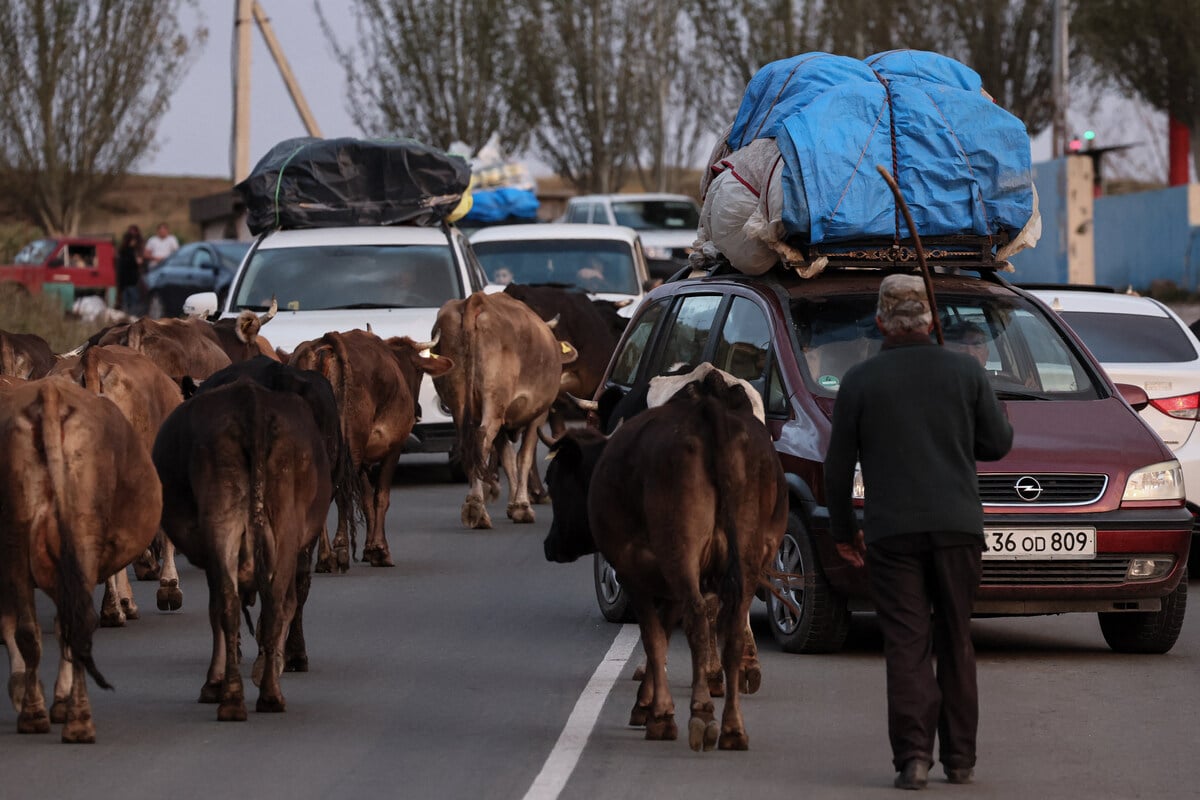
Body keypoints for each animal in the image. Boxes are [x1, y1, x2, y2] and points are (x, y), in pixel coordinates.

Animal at [0, 379, 162, 743]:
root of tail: (50, 394)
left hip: (20, 542)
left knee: (35, 629)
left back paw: (39, 714)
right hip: (78, 539)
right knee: (75, 624)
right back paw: (76, 720)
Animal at [154, 379, 336, 724]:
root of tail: (251, 402)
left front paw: (216, 682)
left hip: (224, 521)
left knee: (233, 603)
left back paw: (235, 698)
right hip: (278, 525)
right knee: (271, 602)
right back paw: (265, 694)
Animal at [434, 292, 578, 532]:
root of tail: (475, 301)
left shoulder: (503, 420)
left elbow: (508, 457)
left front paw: (513, 505)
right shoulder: (537, 415)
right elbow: (523, 457)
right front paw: (522, 506)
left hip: (460, 403)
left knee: (468, 444)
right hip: (493, 403)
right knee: (482, 439)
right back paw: (477, 508)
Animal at [544, 369, 787, 753]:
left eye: (552, 482)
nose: (550, 545)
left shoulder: (637, 571)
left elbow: (654, 635)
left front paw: (652, 708)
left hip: (680, 553)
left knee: (699, 616)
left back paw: (702, 709)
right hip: (751, 552)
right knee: (730, 617)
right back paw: (734, 700)